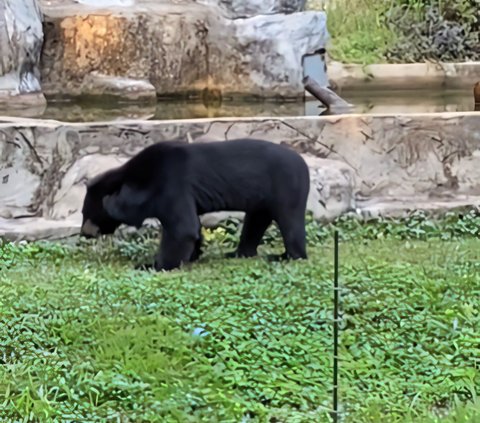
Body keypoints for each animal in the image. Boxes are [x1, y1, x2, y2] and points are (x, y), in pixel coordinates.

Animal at [80, 139, 310, 272]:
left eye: (87, 214)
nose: (84, 233)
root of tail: (303, 163)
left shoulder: (171, 184)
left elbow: (182, 228)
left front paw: (152, 266)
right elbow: (192, 226)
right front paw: (193, 256)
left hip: (287, 186)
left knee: (290, 222)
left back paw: (285, 257)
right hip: (262, 197)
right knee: (255, 222)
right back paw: (238, 253)